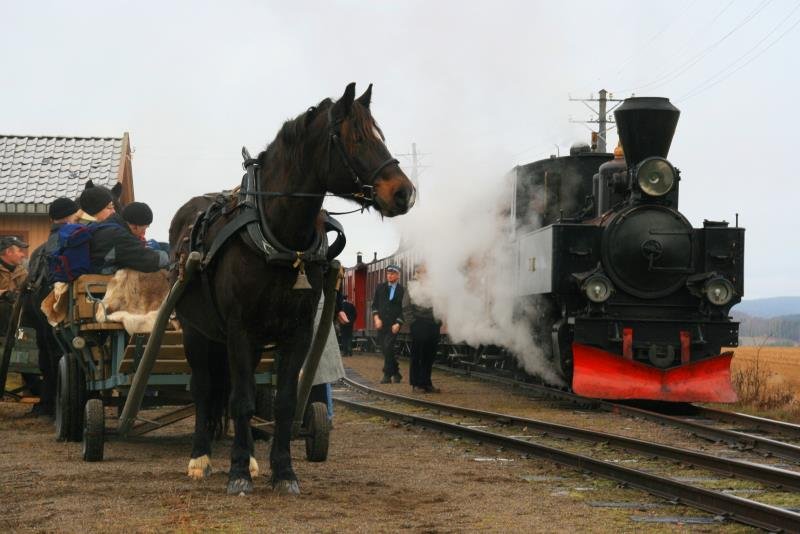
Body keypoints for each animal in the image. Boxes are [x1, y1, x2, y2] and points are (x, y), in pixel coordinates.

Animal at [170, 84, 418, 498]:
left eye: (380, 135)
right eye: (357, 137)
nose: (404, 192)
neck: (280, 237)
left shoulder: (297, 332)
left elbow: (283, 402)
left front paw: (282, 471)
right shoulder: (238, 329)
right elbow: (240, 399)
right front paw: (237, 472)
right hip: (196, 330)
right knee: (204, 387)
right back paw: (200, 457)